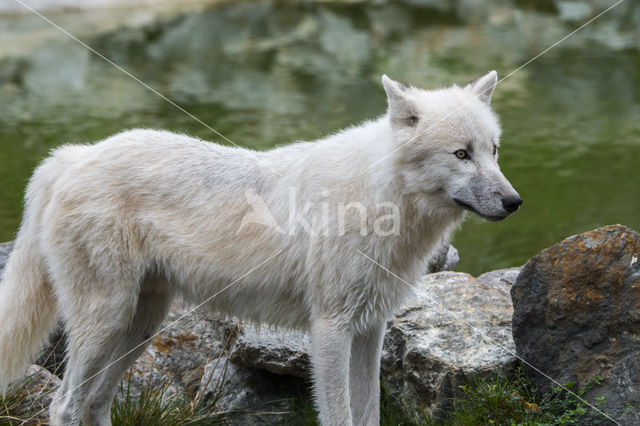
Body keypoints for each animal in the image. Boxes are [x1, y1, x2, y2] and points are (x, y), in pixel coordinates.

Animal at [0, 71, 520, 424]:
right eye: (461, 154)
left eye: (493, 151)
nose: (514, 202)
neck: (378, 197)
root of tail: (74, 155)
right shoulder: (330, 330)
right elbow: (340, 415)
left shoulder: (370, 330)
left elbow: (368, 413)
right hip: (107, 320)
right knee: (63, 405)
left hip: (141, 326)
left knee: (92, 403)